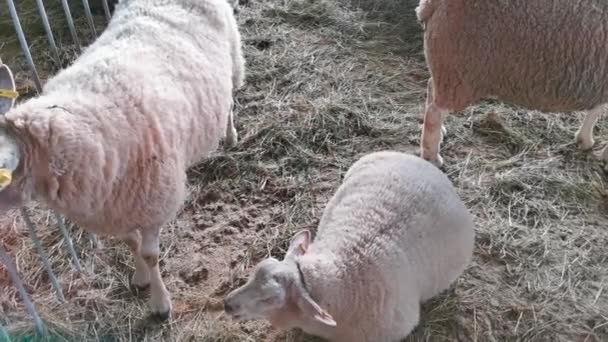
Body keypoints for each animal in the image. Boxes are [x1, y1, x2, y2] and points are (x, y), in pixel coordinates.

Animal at [0, 0, 247, 318]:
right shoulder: (114, 208)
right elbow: (131, 243)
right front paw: (140, 278)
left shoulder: (154, 201)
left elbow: (150, 254)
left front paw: (160, 303)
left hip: (232, 57)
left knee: (228, 102)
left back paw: (230, 135)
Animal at [416, 0, 608, 168]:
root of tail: (432, 4)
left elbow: (596, 109)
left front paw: (584, 139)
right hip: (459, 70)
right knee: (434, 113)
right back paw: (432, 157)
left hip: (448, 68)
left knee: (431, 89)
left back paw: (440, 133)